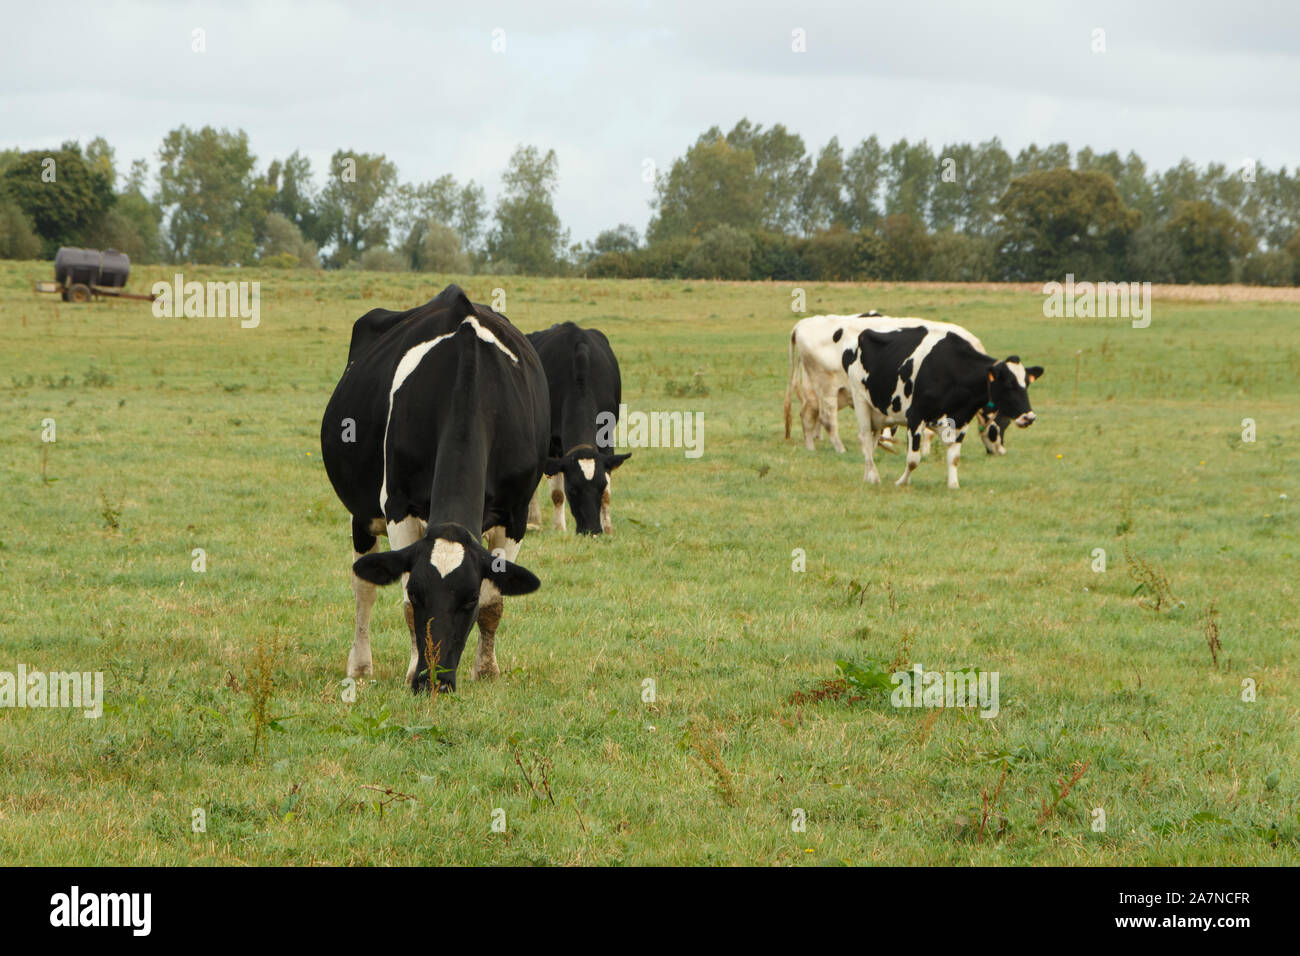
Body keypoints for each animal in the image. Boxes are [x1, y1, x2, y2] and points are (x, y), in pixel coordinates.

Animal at [320, 284, 549, 693]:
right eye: (418, 592)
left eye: (468, 599)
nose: (435, 681)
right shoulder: (399, 506)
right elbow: (403, 605)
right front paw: (414, 670)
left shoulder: (516, 513)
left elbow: (494, 602)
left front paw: (486, 671)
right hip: (361, 514)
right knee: (364, 586)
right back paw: (360, 666)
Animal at [525, 321, 630, 535]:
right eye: (572, 488)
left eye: (600, 486)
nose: (592, 530)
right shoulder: (552, 443)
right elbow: (557, 493)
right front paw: (559, 527)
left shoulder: (606, 437)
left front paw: (608, 528)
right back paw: (533, 519)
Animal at [785, 313, 1011, 457]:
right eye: (1000, 427)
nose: (1001, 451)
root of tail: (803, 324)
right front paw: (924, 451)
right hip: (827, 389)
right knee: (827, 419)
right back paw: (840, 449)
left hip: (812, 391)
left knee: (807, 416)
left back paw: (810, 447)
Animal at [843, 324, 1043, 489]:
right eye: (1008, 384)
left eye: (1027, 383)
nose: (1029, 417)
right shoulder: (915, 415)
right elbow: (913, 459)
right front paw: (902, 482)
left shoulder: (962, 420)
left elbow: (954, 458)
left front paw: (953, 485)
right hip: (861, 401)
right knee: (865, 439)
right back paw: (875, 477)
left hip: (879, 413)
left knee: (873, 441)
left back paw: (868, 476)